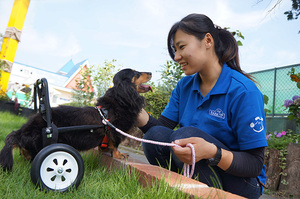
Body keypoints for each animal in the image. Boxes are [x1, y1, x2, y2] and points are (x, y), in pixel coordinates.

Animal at [0, 69, 150, 171]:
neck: (120, 100)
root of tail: (22, 132)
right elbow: (115, 144)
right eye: (136, 73)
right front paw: (119, 155)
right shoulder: (116, 130)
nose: (150, 73)